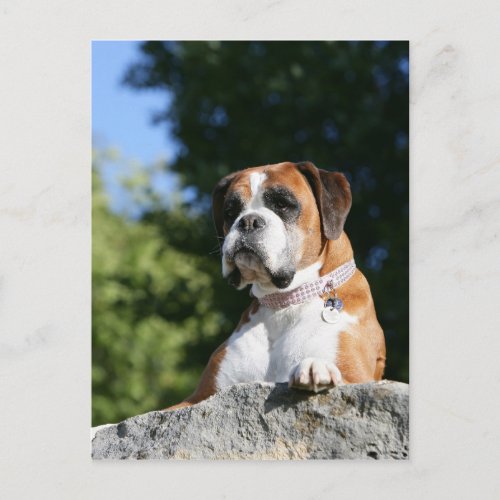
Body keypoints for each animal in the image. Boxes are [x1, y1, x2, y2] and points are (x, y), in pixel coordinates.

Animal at [166, 161, 384, 410]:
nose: (248, 221)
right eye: (230, 213)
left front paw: (315, 366)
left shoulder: (357, 376)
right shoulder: (197, 397)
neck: (284, 302)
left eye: (282, 204)